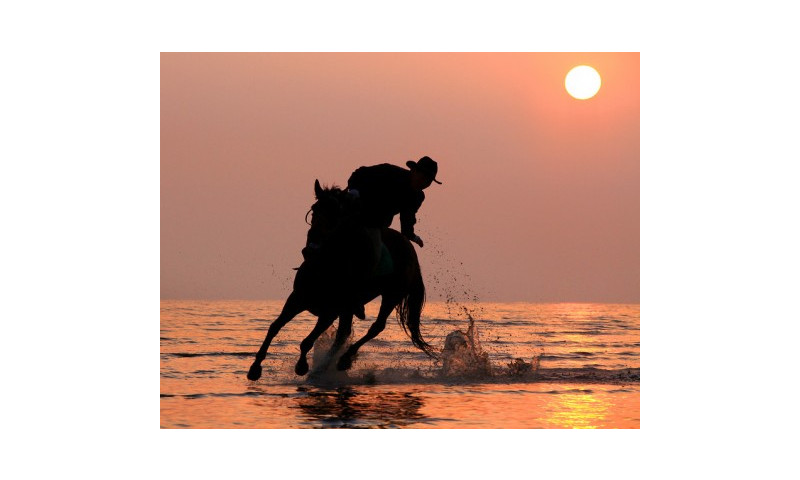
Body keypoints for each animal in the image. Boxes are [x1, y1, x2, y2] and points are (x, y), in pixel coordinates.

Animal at [245, 178, 438, 380]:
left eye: (335, 214)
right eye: (314, 210)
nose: (311, 248)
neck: (324, 267)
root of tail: (410, 249)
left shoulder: (330, 311)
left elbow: (306, 341)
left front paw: (302, 366)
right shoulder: (296, 299)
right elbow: (274, 327)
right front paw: (255, 368)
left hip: (391, 295)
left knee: (376, 327)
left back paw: (342, 361)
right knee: (343, 334)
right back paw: (326, 366)